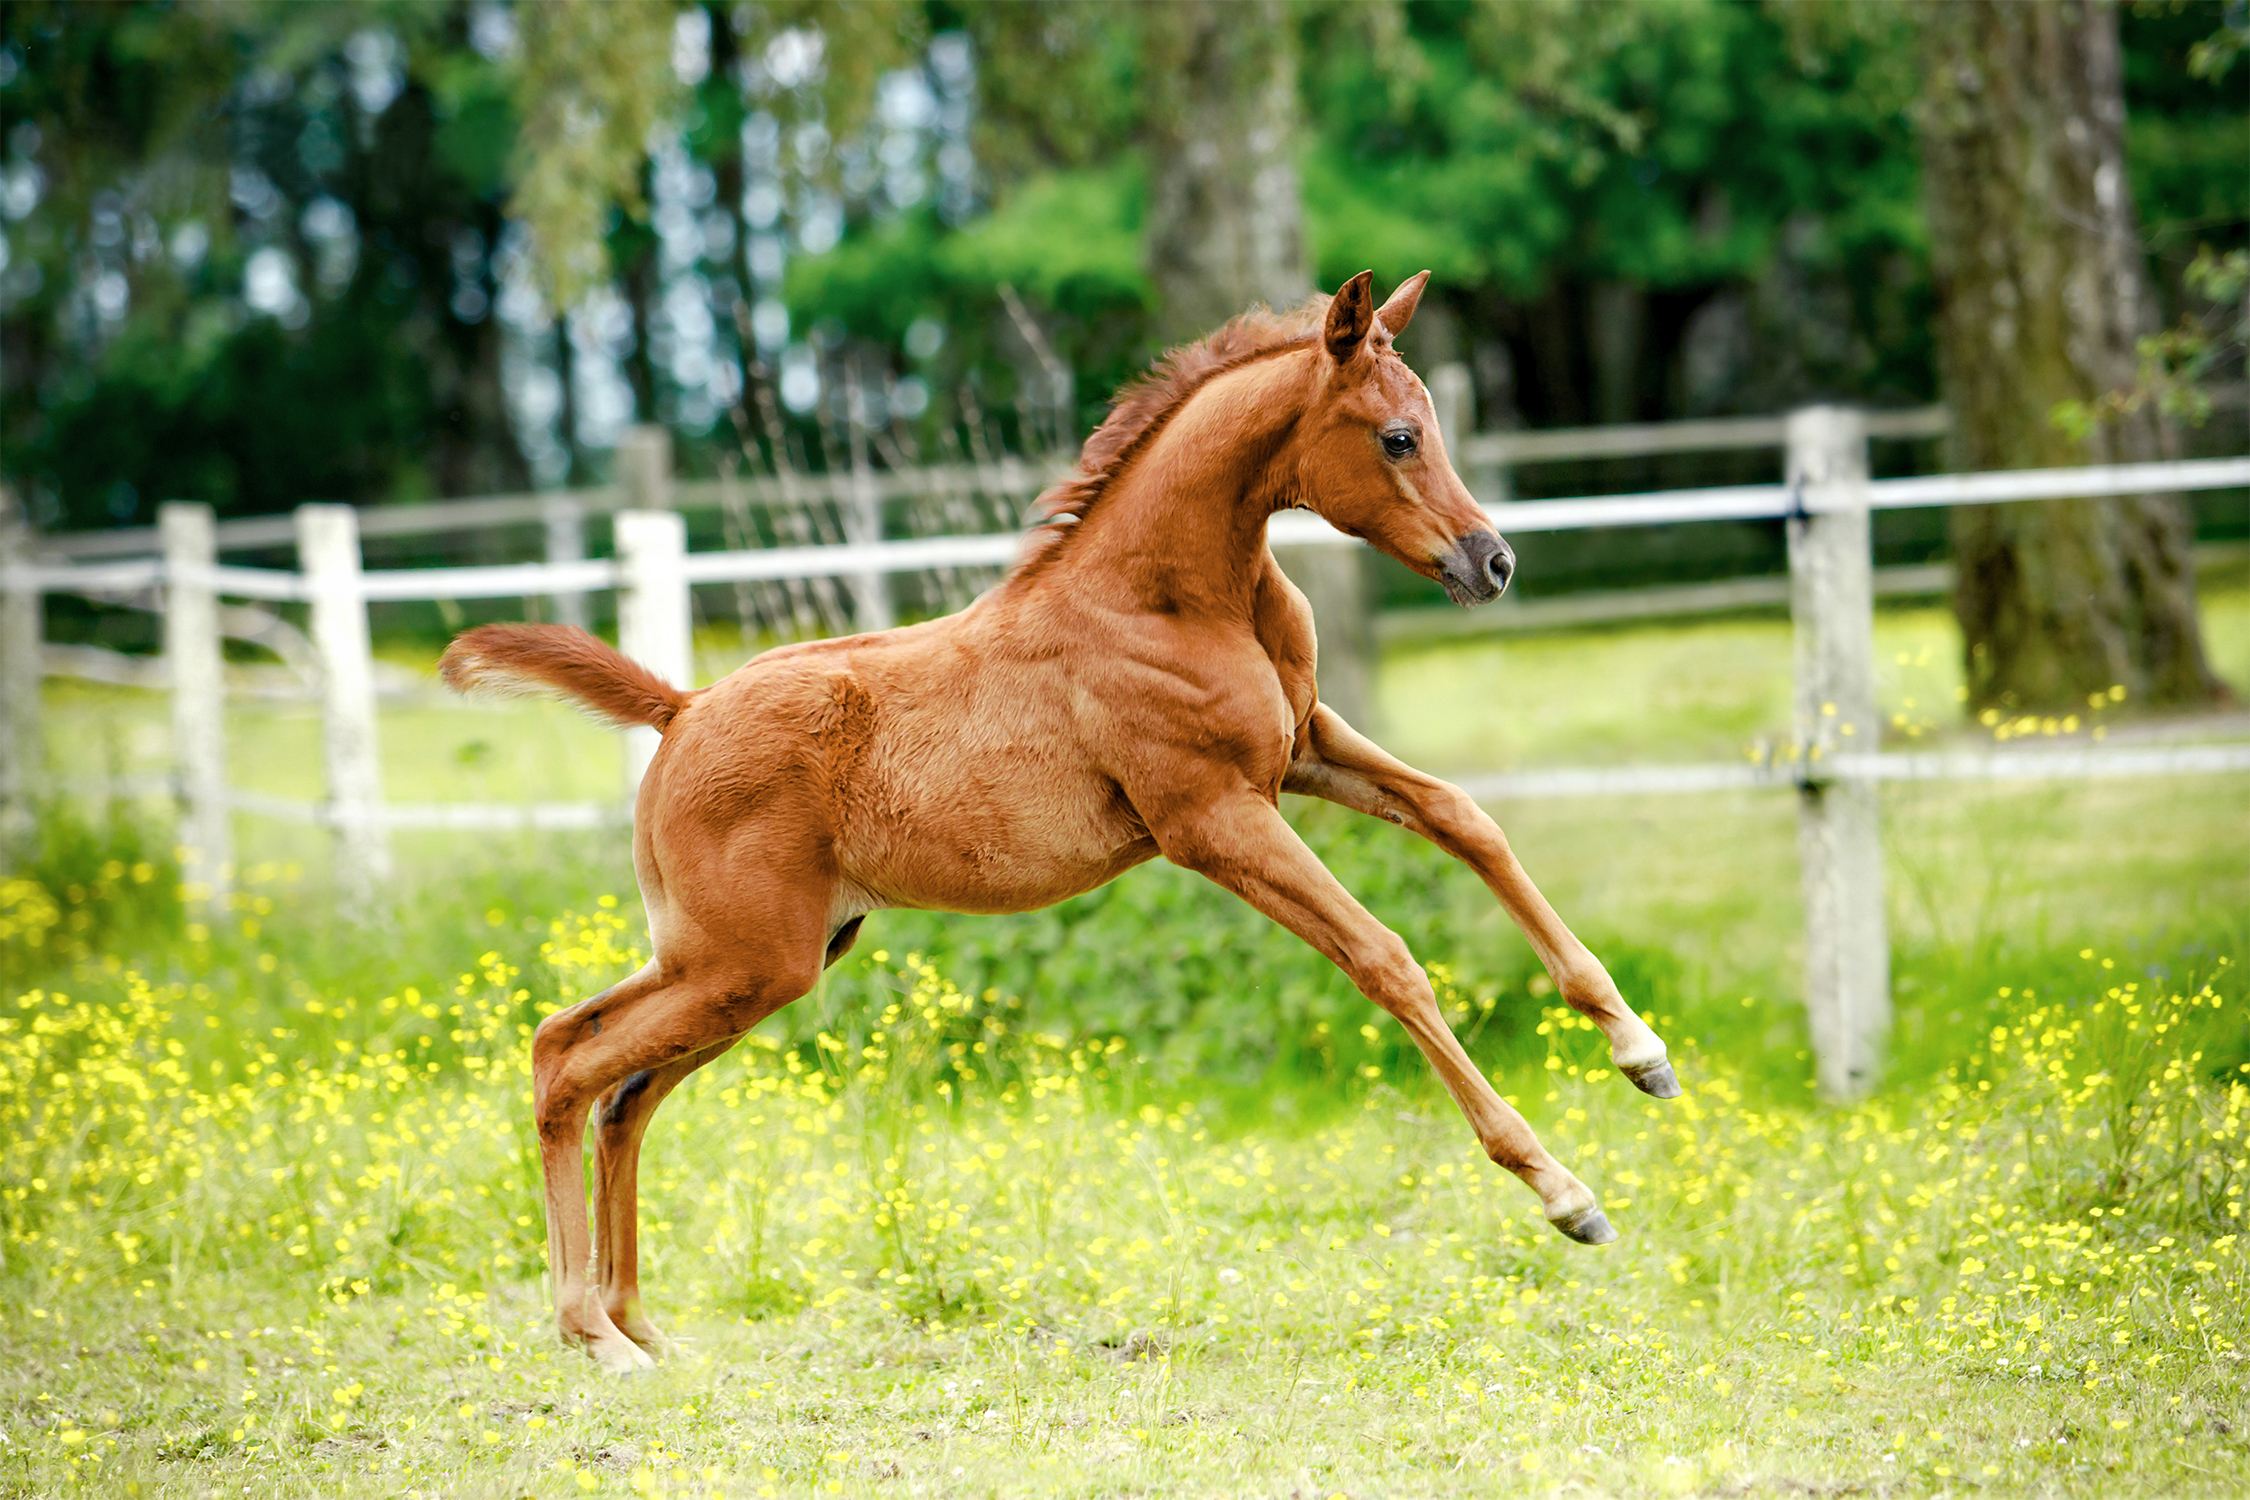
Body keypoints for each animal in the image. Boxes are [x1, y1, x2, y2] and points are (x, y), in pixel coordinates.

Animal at [443, 269, 1674, 1376]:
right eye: (1400, 437)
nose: (1493, 562)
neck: (1168, 598)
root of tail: (681, 705)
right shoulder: (1213, 818)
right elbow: (1387, 958)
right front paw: (1566, 1195)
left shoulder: (1305, 750)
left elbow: (1467, 820)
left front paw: (1640, 1051)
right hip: (744, 961)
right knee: (565, 1060)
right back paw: (593, 1335)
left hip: (754, 961)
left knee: (618, 1089)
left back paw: (642, 1325)